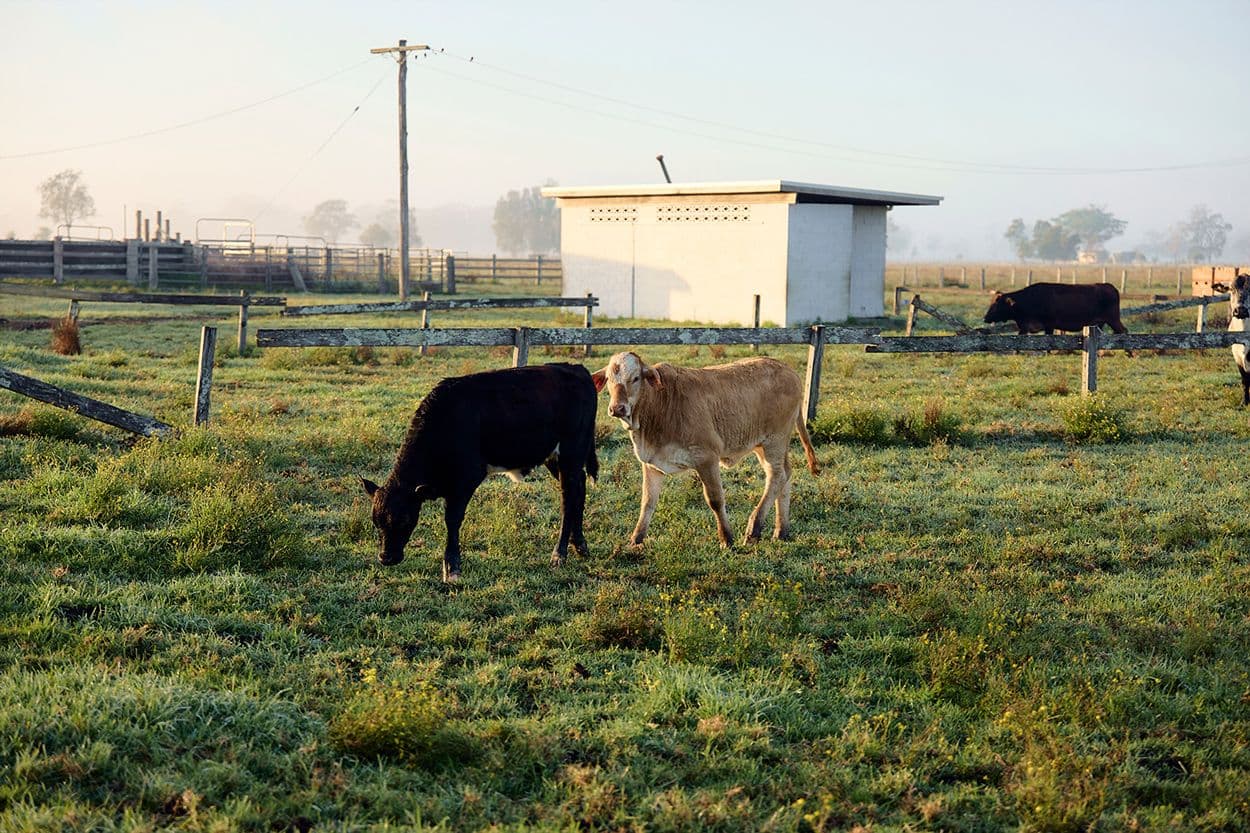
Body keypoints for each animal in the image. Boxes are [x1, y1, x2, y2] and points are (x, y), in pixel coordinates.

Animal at [361, 363, 599, 583]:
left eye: (404, 519)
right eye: (375, 521)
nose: (386, 558)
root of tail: (575, 368)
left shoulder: (466, 480)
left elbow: (452, 520)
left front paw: (452, 567)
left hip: (571, 452)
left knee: (568, 499)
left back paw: (560, 554)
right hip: (555, 457)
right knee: (579, 489)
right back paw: (580, 545)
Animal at [591, 352, 819, 548]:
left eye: (636, 378)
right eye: (610, 379)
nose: (617, 408)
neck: (660, 405)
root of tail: (787, 369)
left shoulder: (706, 458)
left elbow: (716, 500)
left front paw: (727, 538)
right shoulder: (651, 464)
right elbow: (648, 502)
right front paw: (636, 539)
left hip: (774, 441)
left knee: (776, 476)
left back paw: (754, 529)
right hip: (764, 445)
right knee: (785, 474)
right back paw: (781, 530)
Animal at [983, 282, 1128, 335]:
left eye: (996, 304)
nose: (985, 318)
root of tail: (1109, 286)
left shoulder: (1049, 325)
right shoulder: (1024, 327)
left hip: (1113, 319)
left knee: (1124, 331)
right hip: (1101, 323)